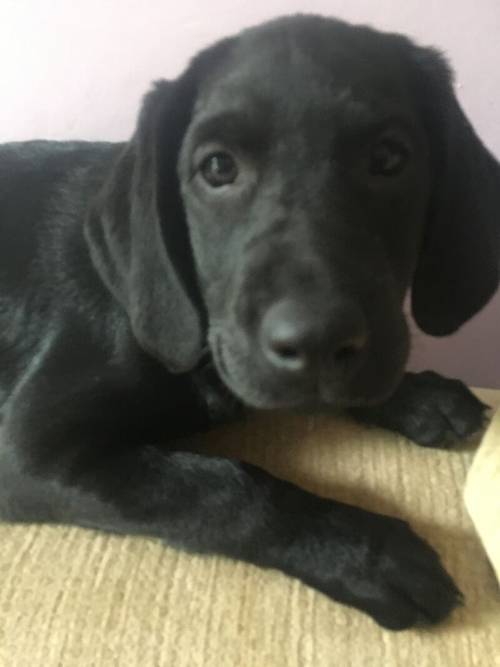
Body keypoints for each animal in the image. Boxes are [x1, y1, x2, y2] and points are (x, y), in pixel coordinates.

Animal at [0, 15, 500, 632]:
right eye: (218, 168)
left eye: (389, 158)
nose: (315, 338)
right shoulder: (29, 448)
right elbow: (221, 486)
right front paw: (367, 551)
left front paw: (421, 396)